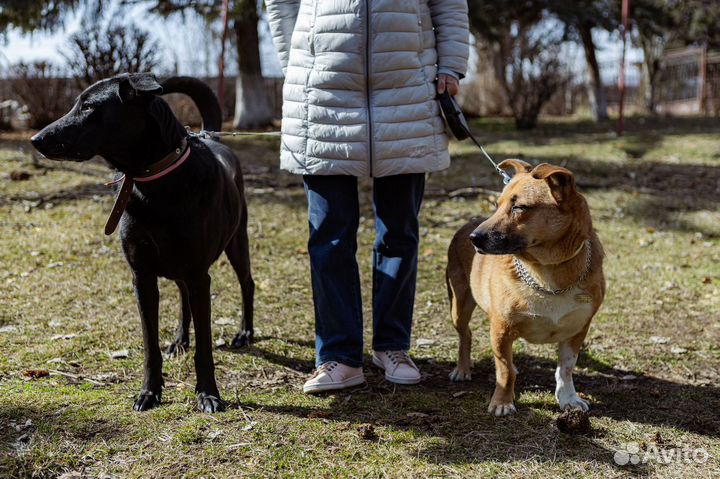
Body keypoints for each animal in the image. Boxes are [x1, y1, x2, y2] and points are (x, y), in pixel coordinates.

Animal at [31, 74, 256, 412]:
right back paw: (179, 341)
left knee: (247, 283)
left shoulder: (198, 275)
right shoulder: (143, 277)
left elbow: (205, 346)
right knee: (183, 297)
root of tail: (213, 138)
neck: (156, 182)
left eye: (88, 106)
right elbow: (150, 345)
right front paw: (149, 391)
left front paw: (208, 393)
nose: (36, 139)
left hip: (236, 241)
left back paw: (245, 333)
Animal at [448, 161, 604, 416]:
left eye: (519, 207)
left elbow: (566, 369)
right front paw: (502, 402)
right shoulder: (500, 330)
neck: (546, 273)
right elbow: (504, 370)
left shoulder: (577, 329)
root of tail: (467, 224)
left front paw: (569, 398)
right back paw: (462, 369)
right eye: (497, 205)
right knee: (466, 335)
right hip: (458, 306)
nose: (474, 238)